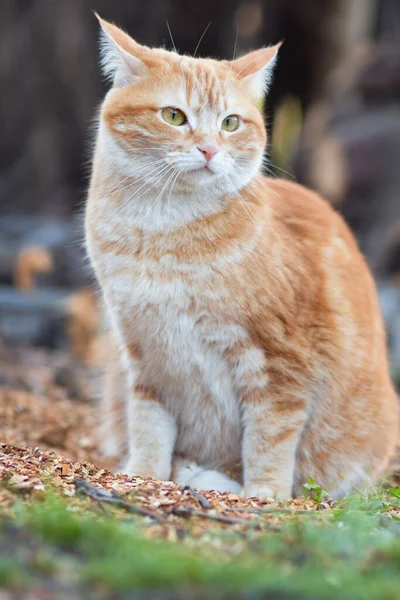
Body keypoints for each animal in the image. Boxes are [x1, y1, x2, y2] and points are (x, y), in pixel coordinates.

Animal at [86, 16, 398, 500]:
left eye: (230, 123)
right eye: (174, 116)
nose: (210, 149)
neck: (164, 235)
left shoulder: (280, 362)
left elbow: (269, 438)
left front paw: (263, 494)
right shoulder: (144, 353)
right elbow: (147, 423)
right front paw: (143, 473)